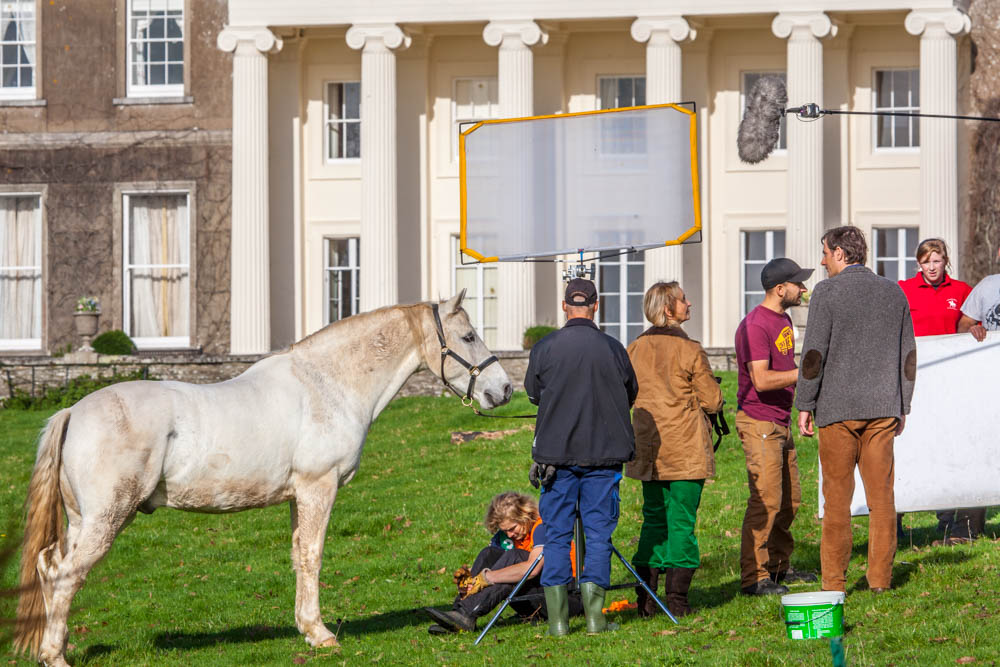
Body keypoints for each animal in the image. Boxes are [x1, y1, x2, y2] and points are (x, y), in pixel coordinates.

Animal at [13, 294, 516, 664]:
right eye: (468, 335)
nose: (505, 389)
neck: (326, 384)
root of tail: (74, 411)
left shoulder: (298, 496)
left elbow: (298, 557)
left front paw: (306, 629)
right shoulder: (318, 487)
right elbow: (312, 557)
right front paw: (322, 634)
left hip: (81, 521)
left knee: (48, 567)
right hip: (107, 518)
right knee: (65, 575)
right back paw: (55, 656)